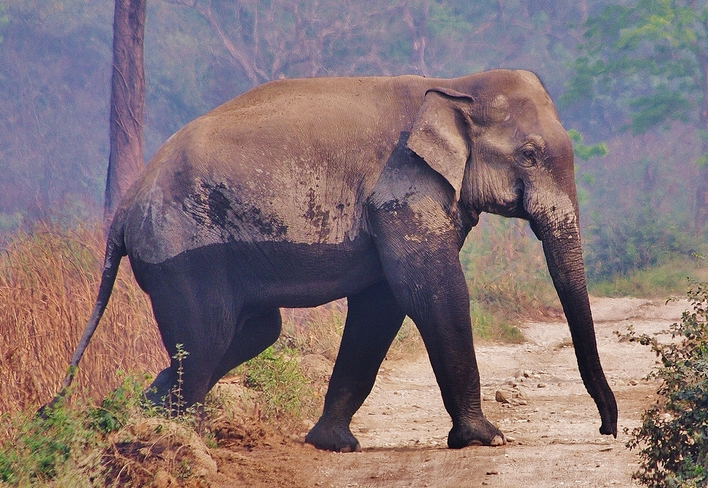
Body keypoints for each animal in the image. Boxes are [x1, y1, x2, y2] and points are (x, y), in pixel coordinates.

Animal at [55, 69, 617, 452]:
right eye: (529, 155)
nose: (607, 430)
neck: (454, 85)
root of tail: (125, 208)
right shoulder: (403, 189)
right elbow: (432, 292)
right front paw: (486, 439)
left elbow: (382, 305)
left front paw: (333, 444)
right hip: (183, 254)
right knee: (207, 337)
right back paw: (176, 439)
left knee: (251, 332)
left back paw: (134, 422)